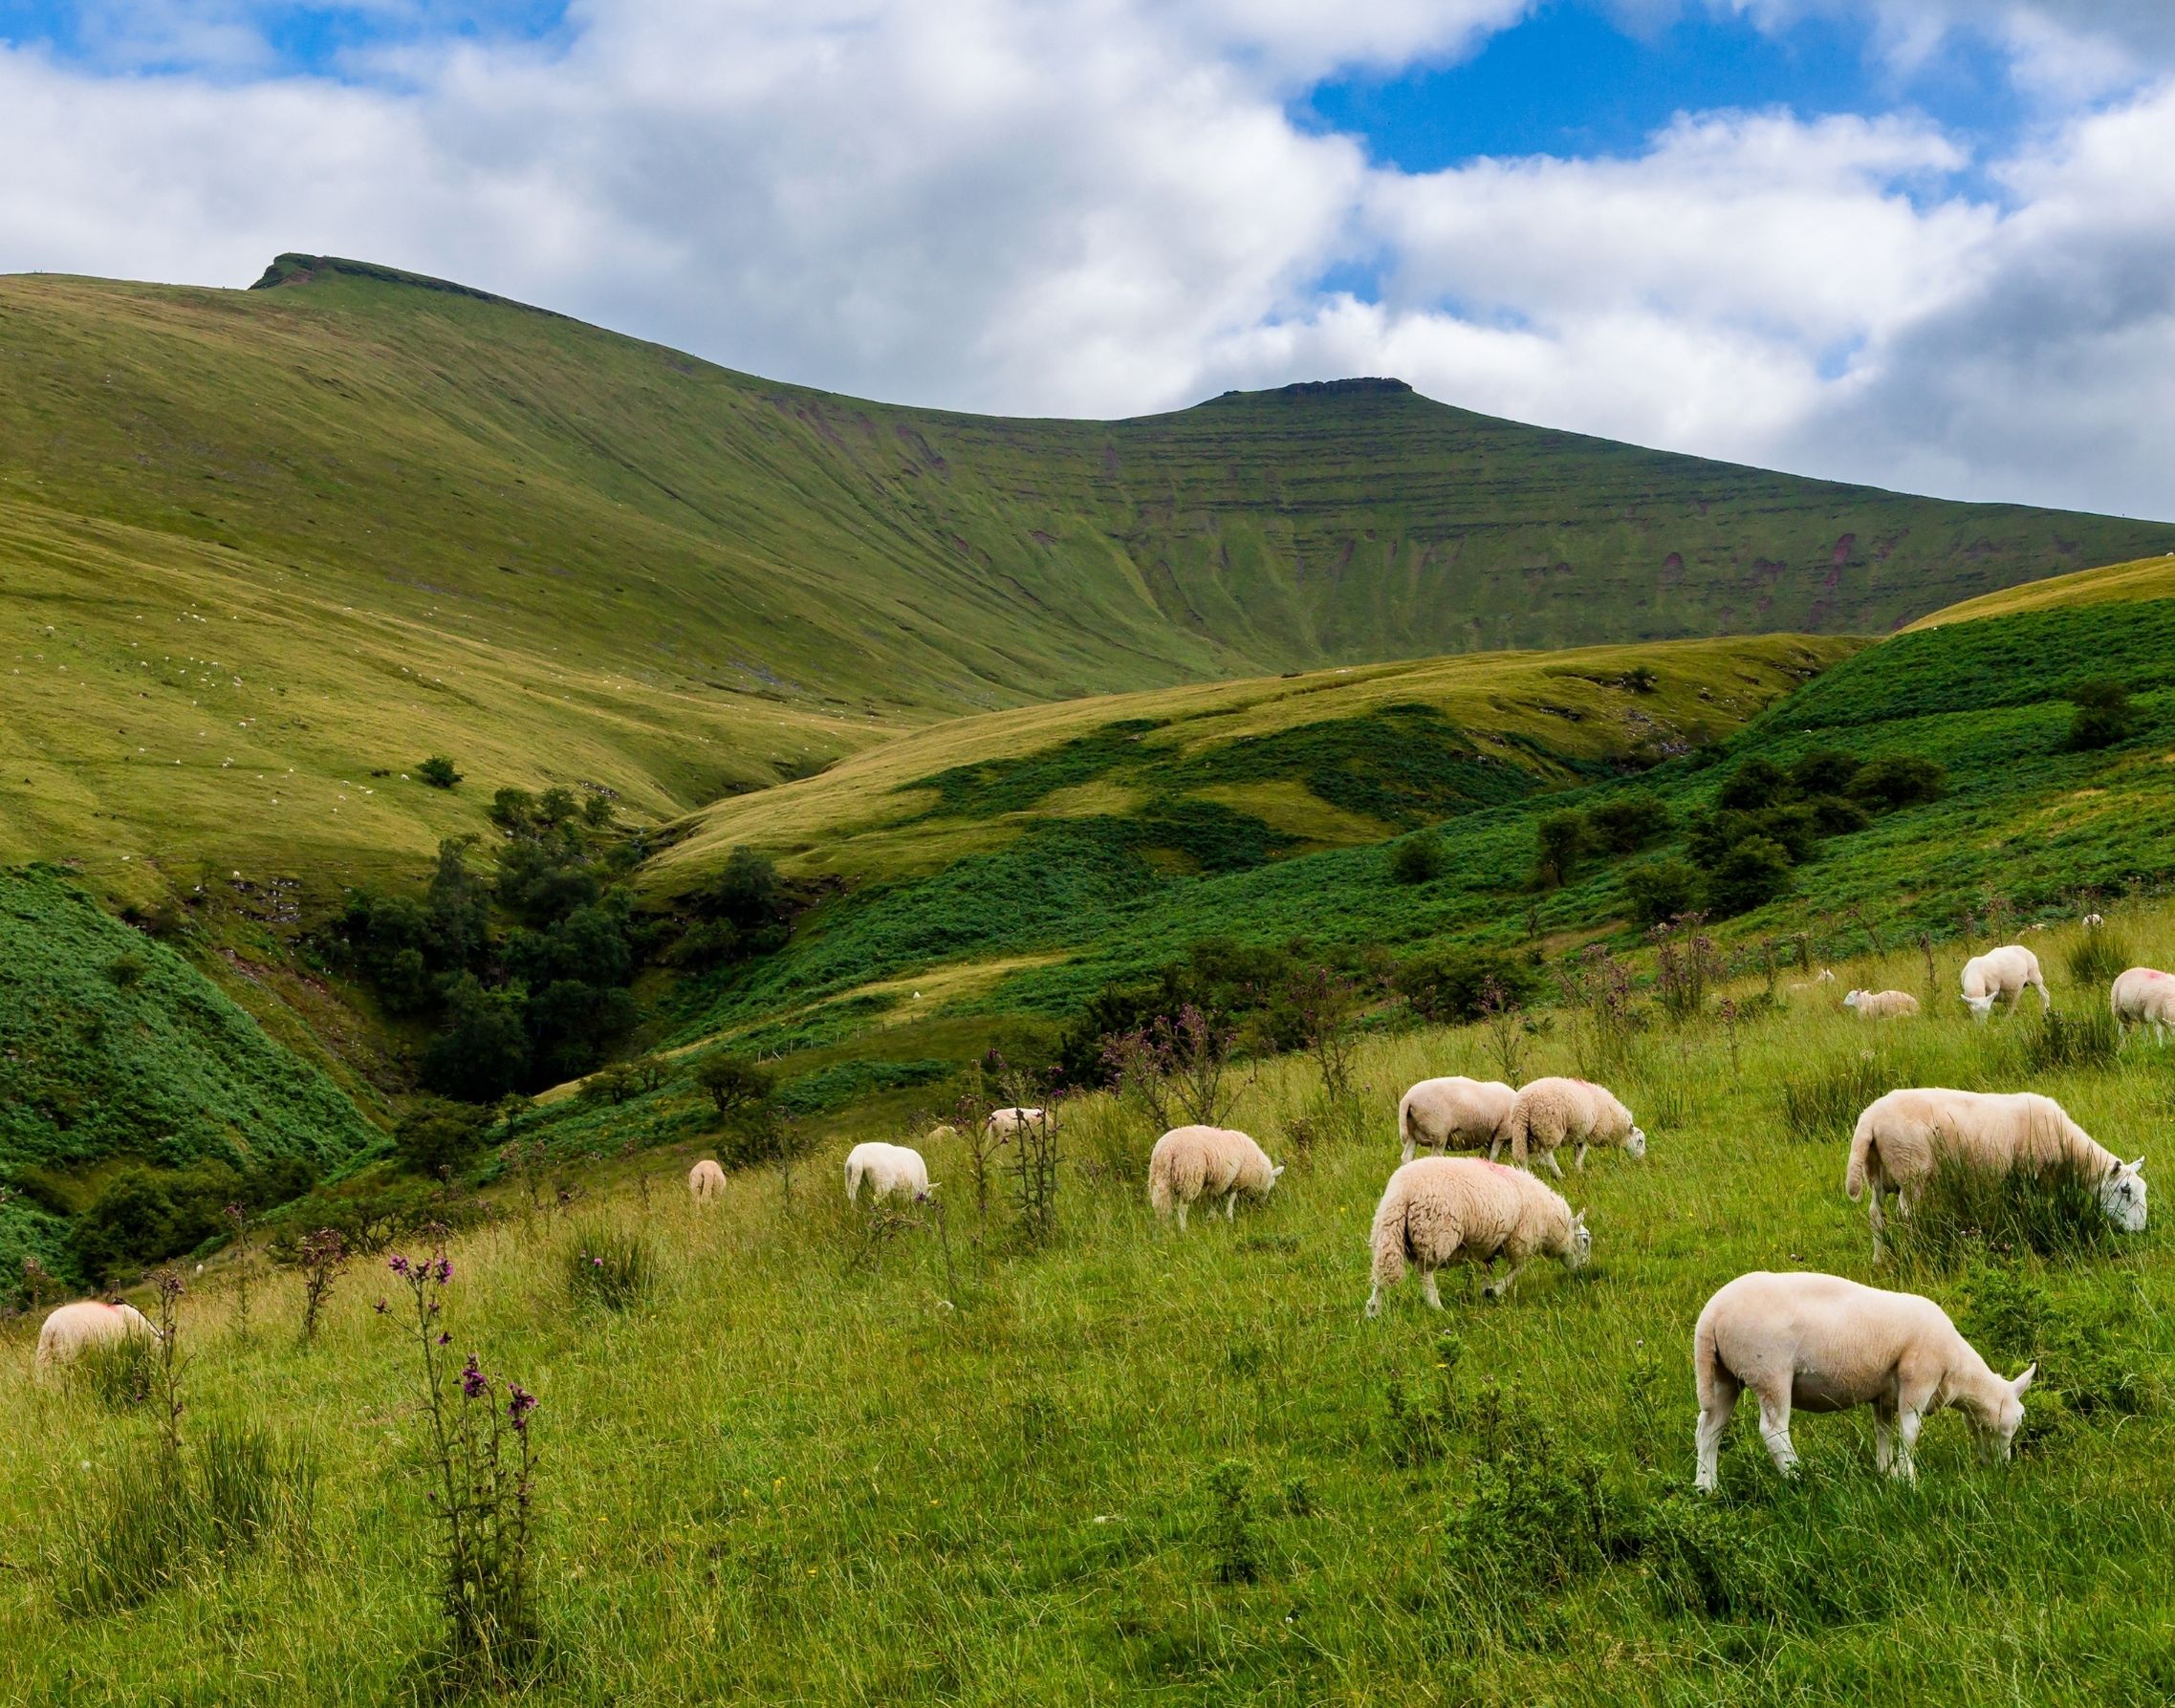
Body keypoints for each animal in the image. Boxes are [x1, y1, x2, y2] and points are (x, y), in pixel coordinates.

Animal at [1147, 1125, 1282, 1230]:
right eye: (1270, 1185)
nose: (1261, 1205)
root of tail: (1168, 1149)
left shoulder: (1218, 1181)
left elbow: (1214, 1199)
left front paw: (1211, 1218)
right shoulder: (1235, 1179)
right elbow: (1230, 1198)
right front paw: (1229, 1218)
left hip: (1159, 1178)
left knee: (1162, 1207)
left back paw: (1165, 1229)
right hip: (1189, 1177)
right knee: (1182, 1209)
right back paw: (1183, 1230)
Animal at [1365, 1157, 1589, 1315]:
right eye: (1585, 1240)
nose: (1582, 1270)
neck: (1551, 1223)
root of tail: (1403, 1191)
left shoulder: (1490, 1245)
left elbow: (1487, 1269)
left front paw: (1486, 1290)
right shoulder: (1520, 1240)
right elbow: (1519, 1268)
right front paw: (1495, 1290)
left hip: (1388, 1231)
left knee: (1383, 1273)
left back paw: (1374, 1310)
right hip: (1435, 1234)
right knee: (1425, 1273)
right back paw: (1436, 1307)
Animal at [1501, 1076, 1646, 1177]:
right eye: (1640, 1141)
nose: (1640, 1160)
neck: (1615, 1124)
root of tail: (1523, 1104)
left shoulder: (1580, 1135)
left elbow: (1577, 1153)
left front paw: (1577, 1170)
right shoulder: (1588, 1134)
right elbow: (1581, 1153)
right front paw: (1579, 1170)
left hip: (1522, 1131)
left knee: (1523, 1156)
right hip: (1549, 1128)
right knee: (1546, 1154)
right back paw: (1559, 1174)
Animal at [1694, 1270, 2034, 1490]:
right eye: (2019, 1418)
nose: (2003, 1467)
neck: (1958, 1371)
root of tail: (1711, 1315)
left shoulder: (1883, 1396)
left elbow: (1884, 1431)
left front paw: (1885, 1472)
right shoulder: (1918, 1380)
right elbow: (1909, 1432)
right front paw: (1909, 1480)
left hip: (1724, 1376)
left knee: (1709, 1429)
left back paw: (1706, 1487)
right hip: (1769, 1372)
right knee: (1773, 1431)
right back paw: (1798, 1480)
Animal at [1844, 1087, 2145, 1256]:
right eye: (2124, 1190)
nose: (2141, 1230)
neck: (2069, 1149)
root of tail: (1869, 1118)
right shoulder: (2027, 1175)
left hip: (1879, 1172)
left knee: (1876, 1214)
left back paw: (1880, 1259)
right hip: (1911, 1169)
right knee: (1906, 1216)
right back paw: (1913, 1251)